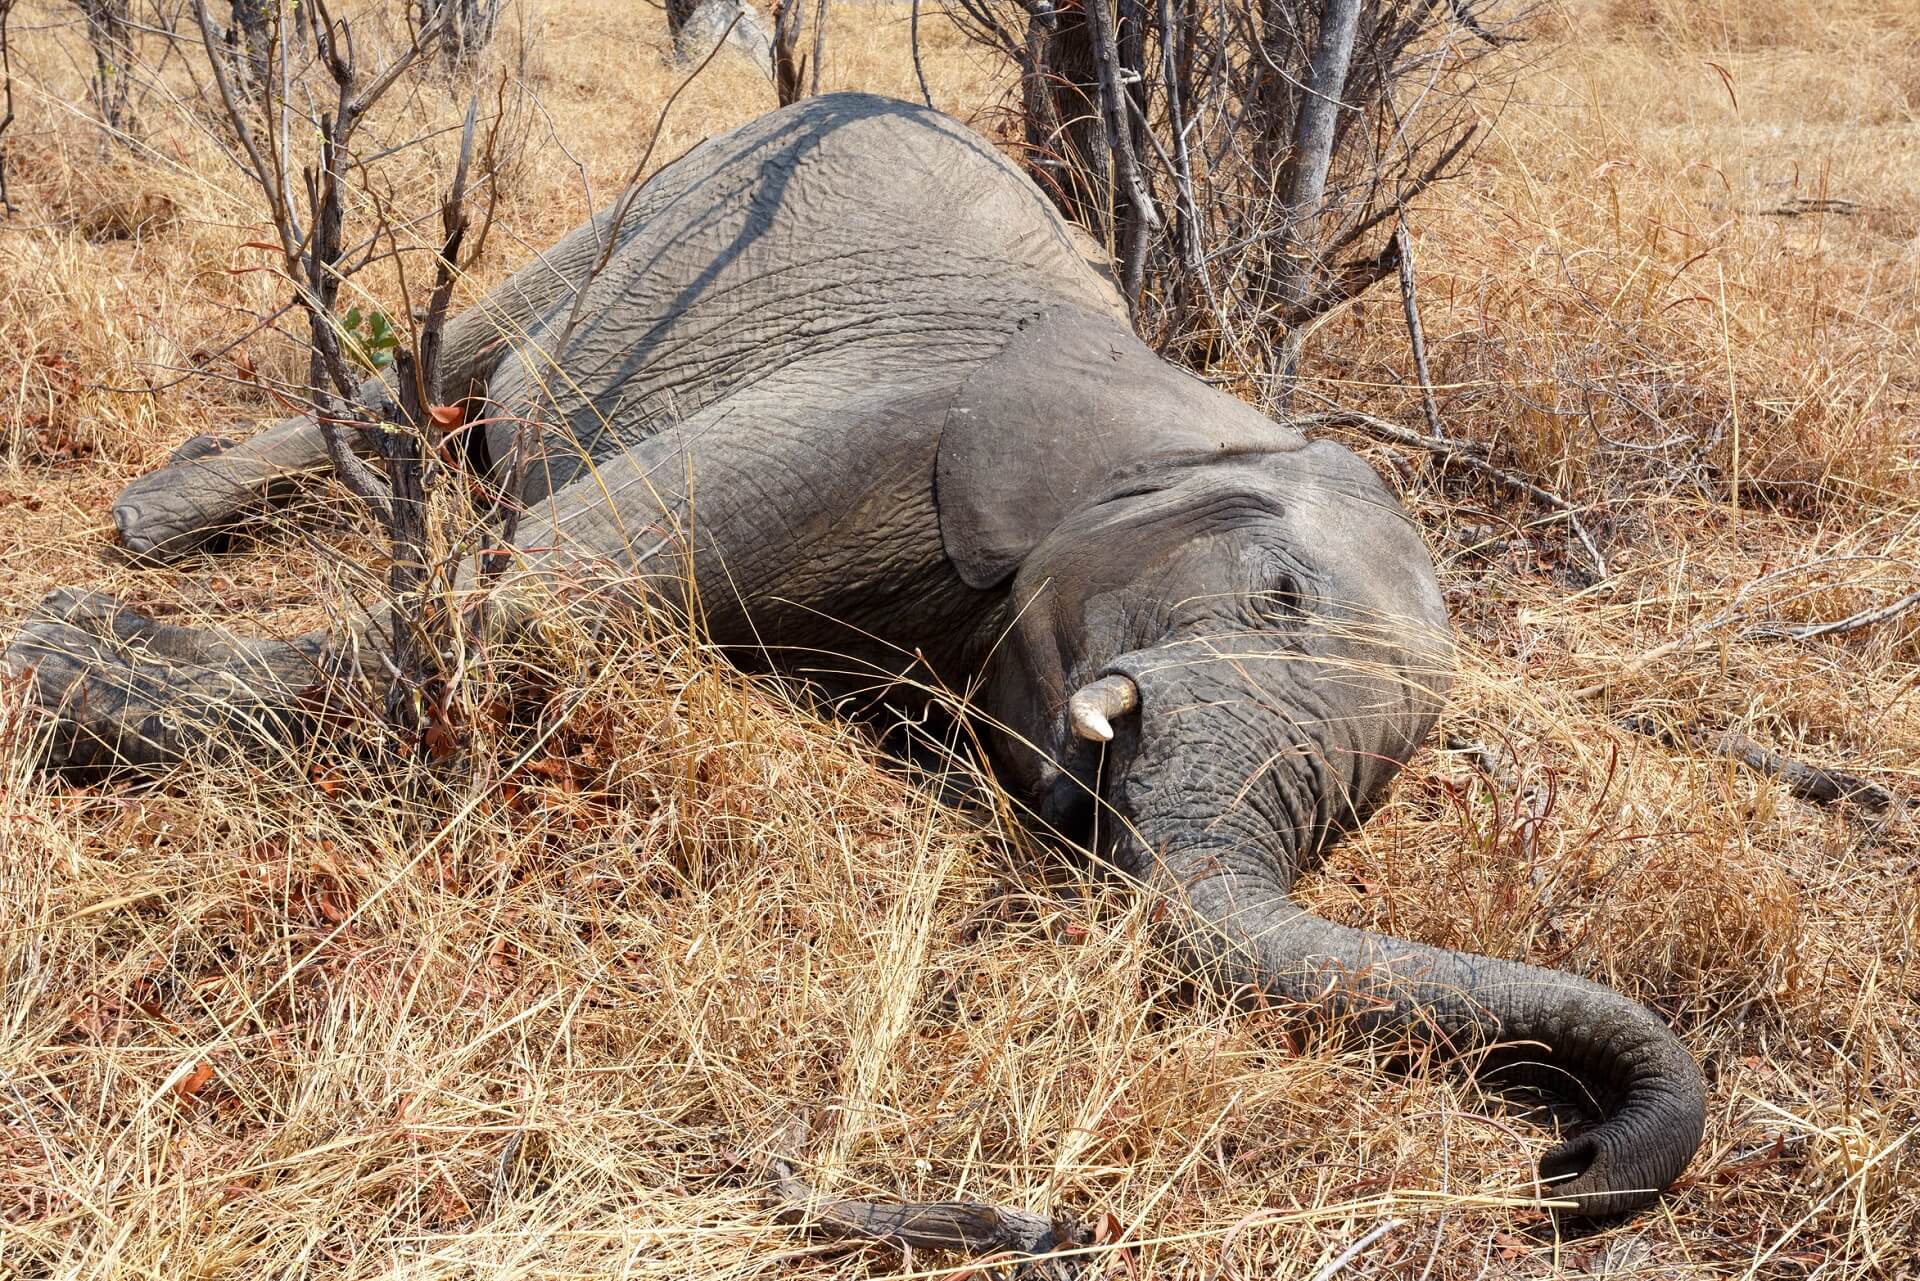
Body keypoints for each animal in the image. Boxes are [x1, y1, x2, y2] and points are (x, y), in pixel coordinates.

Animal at [7, 95, 1704, 1221]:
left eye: (1373, 797)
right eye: (1279, 595)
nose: (1561, 1160)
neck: (1191, 416)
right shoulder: (894, 418)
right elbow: (544, 600)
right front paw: (53, 662)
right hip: (666, 199)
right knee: (443, 364)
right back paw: (160, 519)